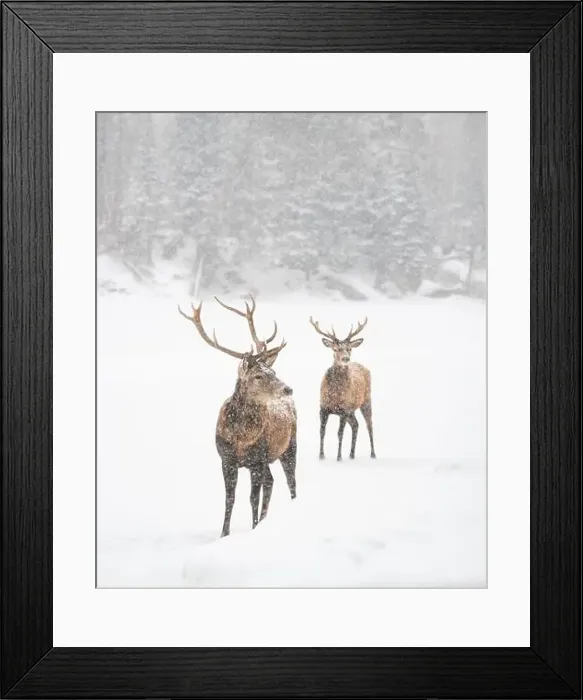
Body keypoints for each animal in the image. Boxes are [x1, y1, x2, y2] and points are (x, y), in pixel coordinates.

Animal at [179, 296, 297, 538]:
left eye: (273, 372)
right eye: (258, 375)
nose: (288, 389)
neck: (241, 439)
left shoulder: (257, 460)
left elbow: (252, 498)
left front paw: (252, 528)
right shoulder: (226, 459)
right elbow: (229, 499)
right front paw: (224, 533)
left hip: (289, 446)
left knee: (291, 482)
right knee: (271, 481)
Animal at [309, 316, 376, 462]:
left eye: (349, 348)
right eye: (335, 349)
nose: (346, 358)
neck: (334, 394)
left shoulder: (343, 410)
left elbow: (340, 433)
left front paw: (339, 457)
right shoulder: (323, 408)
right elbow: (322, 431)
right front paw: (321, 456)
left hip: (366, 400)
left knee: (369, 425)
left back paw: (373, 454)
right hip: (352, 410)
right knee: (356, 424)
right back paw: (351, 454)